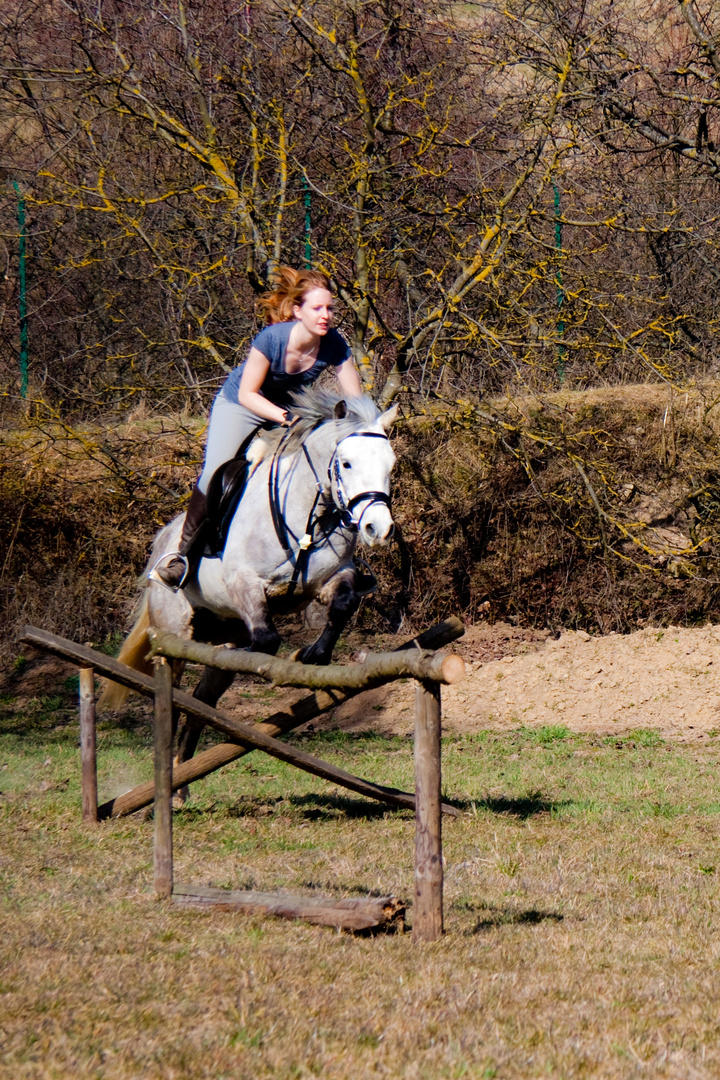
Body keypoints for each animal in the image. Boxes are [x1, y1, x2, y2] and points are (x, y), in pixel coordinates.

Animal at [99, 388, 399, 768]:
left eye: (390, 465)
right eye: (345, 463)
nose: (379, 529)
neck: (306, 513)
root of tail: (164, 541)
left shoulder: (333, 577)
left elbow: (342, 605)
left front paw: (309, 655)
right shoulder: (244, 582)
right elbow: (268, 640)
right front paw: (286, 655)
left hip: (226, 628)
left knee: (202, 700)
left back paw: (183, 771)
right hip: (173, 633)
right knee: (175, 693)